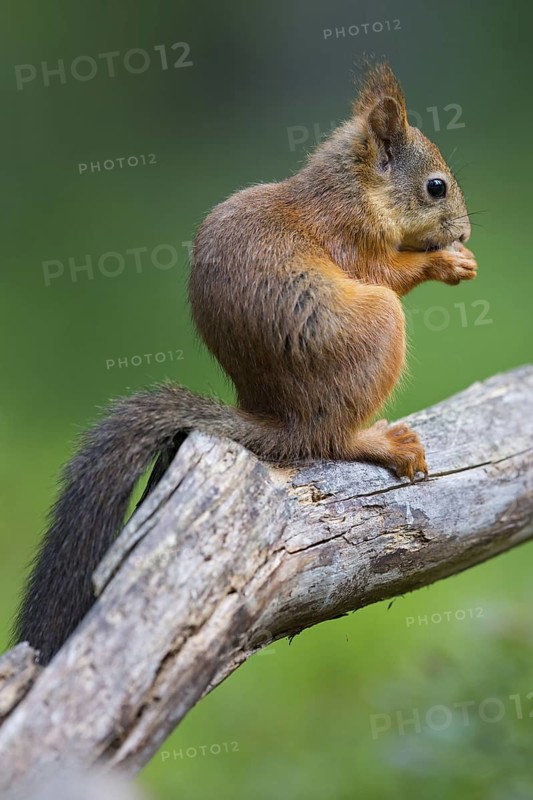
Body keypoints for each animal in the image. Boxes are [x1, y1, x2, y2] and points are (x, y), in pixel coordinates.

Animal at [13, 63, 476, 664]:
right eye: (435, 186)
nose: (464, 232)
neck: (351, 189)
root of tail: (283, 420)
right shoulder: (351, 240)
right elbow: (387, 272)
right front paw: (446, 262)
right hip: (377, 329)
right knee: (331, 439)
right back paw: (378, 441)